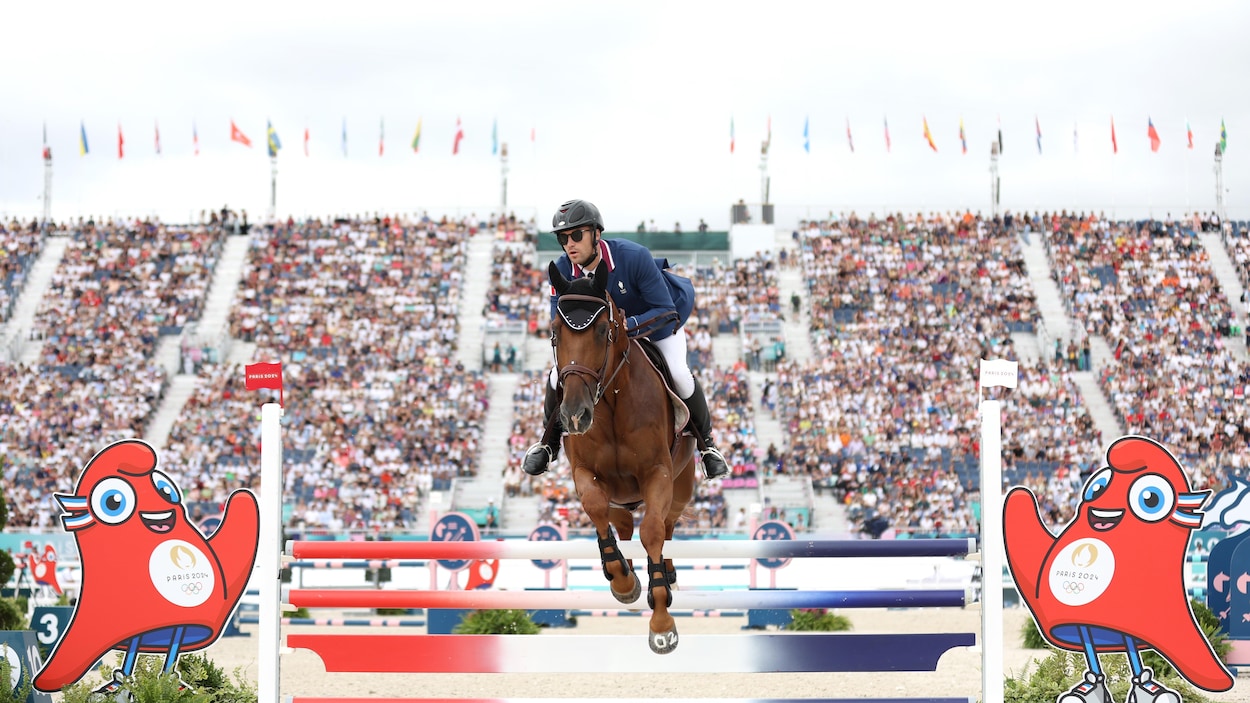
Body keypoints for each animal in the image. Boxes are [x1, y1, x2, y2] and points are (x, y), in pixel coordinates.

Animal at [550, 258, 705, 650]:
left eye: (603, 329)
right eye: (555, 331)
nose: (574, 415)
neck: (611, 399)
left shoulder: (657, 474)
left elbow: (651, 531)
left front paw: (662, 624)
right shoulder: (584, 472)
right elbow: (595, 508)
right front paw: (622, 580)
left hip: (681, 488)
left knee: (666, 526)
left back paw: (665, 573)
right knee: (620, 524)